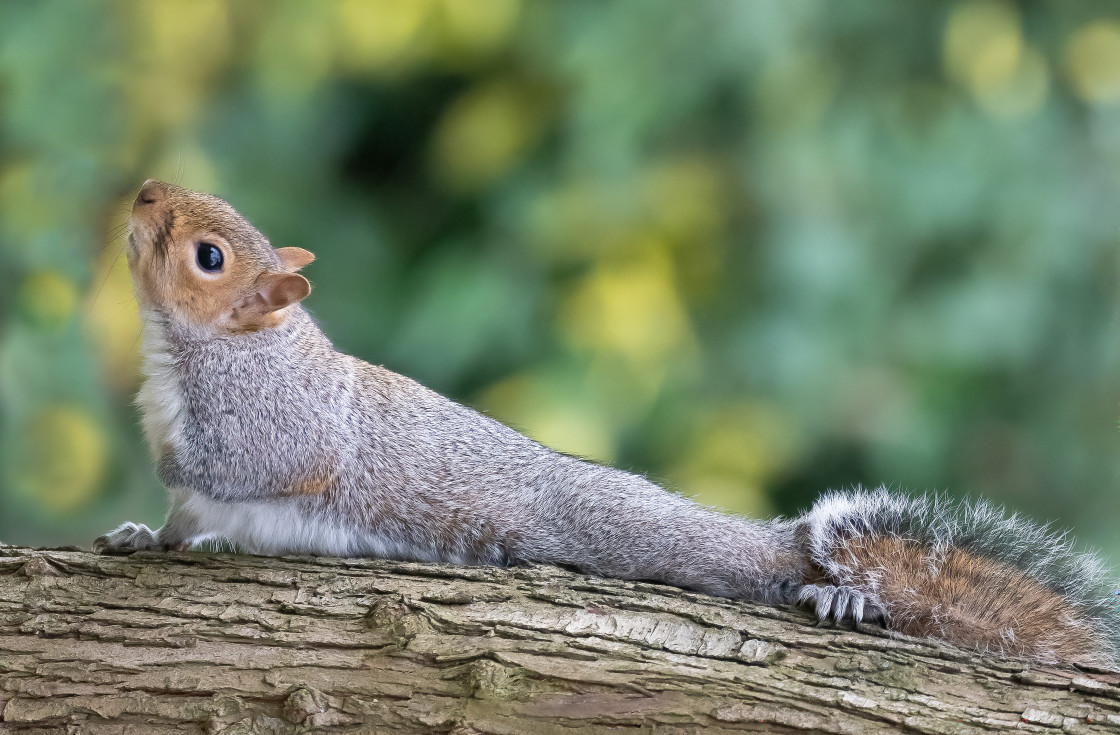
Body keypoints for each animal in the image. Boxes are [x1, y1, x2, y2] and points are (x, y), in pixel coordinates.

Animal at [94, 180, 1120, 667]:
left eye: (208, 255)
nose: (143, 190)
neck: (198, 353)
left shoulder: (275, 427)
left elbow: (243, 469)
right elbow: (180, 521)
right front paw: (143, 535)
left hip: (611, 523)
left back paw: (831, 593)